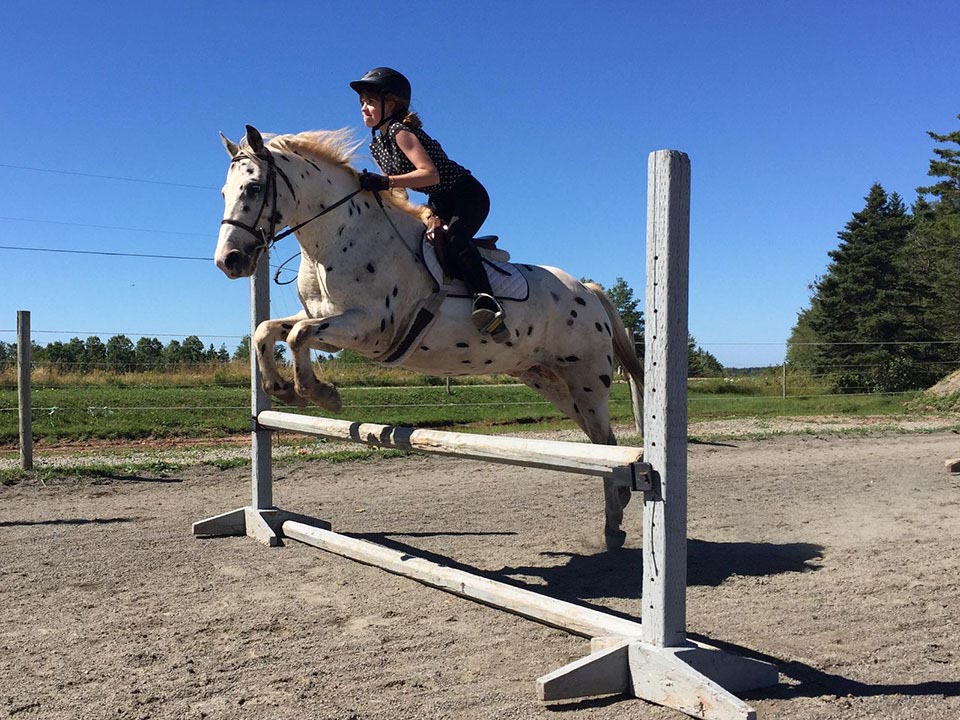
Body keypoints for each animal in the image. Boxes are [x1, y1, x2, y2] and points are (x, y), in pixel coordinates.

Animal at [216, 126, 644, 548]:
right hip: (548, 380)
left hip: (586, 379)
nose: (228, 261)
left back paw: (613, 522)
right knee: (600, 444)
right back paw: (617, 510)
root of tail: (587, 290)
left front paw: (322, 395)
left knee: (606, 442)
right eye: (223, 192)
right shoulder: (332, 328)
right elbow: (270, 331)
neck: (338, 238)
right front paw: (281, 389)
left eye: (253, 188)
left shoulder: (369, 328)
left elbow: (298, 336)